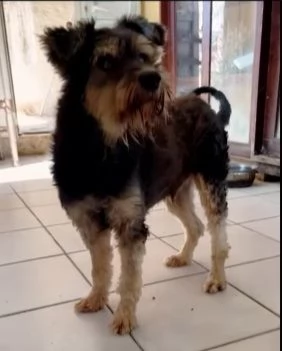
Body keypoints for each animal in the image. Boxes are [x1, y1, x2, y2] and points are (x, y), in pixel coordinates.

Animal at [41, 15, 231, 336]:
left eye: (144, 56)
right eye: (105, 62)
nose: (153, 79)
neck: (98, 149)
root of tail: (211, 111)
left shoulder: (130, 222)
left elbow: (129, 278)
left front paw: (124, 317)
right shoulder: (89, 221)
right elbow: (100, 267)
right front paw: (96, 298)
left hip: (212, 180)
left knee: (218, 232)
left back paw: (217, 277)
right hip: (175, 190)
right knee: (195, 226)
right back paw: (183, 256)